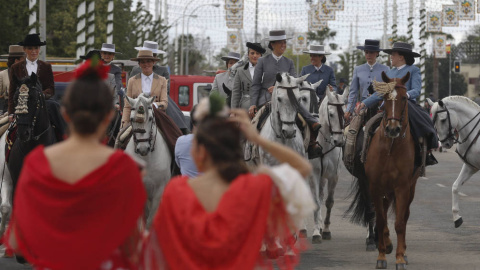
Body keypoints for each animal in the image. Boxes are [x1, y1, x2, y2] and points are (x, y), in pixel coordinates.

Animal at [124, 94, 172, 227]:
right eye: (131, 119)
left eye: (150, 118)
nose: (143, 149)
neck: (147, 160)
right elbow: (144, 218)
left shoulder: (159, 191)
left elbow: (151, 220)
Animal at [298, 81, 350, 244]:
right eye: (331, 114)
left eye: (345, 112)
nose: (339, 141)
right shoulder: (314, 174)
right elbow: (315, 201)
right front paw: (316, 233)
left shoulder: (334, 175)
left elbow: (329, 201)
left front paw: (325, 229)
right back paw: (302, 229)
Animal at [364, 71, 420, 270]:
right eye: (385, 98)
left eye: (404, 98)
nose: (393, 129)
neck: (391, 147)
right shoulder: (374, 186)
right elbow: (380, 221)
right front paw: (381, 256)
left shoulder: (402, 187)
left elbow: (400, 223)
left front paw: (400, 258)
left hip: (410, 187)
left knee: (405, 215)